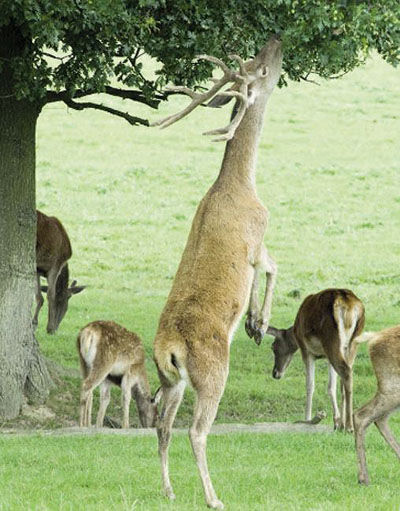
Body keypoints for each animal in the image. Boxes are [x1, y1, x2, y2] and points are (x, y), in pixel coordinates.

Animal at [152, 37, 282, 511]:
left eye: (256, 58)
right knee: (196, 431)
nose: (276, 42)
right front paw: (258, 322)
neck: (243, 184)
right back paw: (213, 497)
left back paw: (169, 490)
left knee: (162, 426)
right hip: (213, 374)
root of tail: (167, 346)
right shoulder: (258, 236)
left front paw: (255, 323)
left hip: (170, 380)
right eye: (260, 70)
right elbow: (272, 267)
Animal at [266, 288, 366, 432]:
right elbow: (332, 386)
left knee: (346, 372)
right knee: (347, 376)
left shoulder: (306, 351)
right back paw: (345, 424)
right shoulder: (328, 357)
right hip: (352, 343)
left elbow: (310, 385)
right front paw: (336, 422)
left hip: (332, 341)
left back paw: (349, 426)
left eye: (273, 346)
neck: (295, 332)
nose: (275, 373)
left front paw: (308, 419)